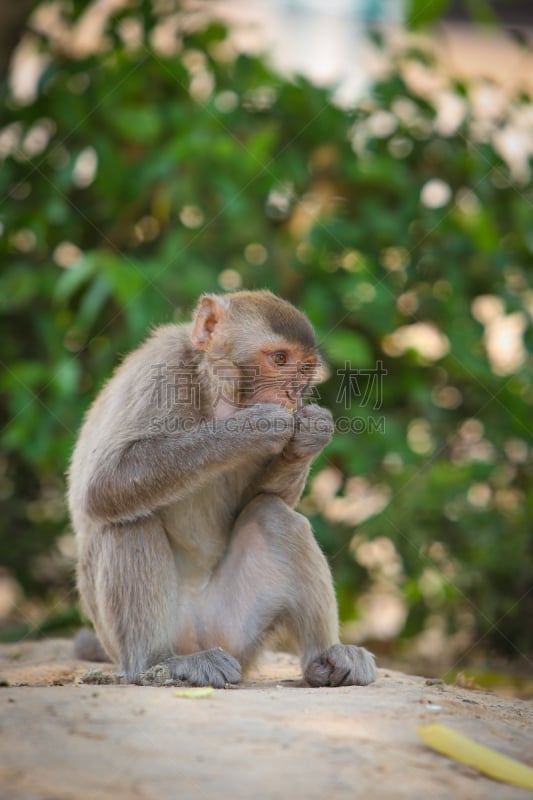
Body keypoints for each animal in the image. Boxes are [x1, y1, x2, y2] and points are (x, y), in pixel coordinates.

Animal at [68, 290, 376, 692]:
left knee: (272, 514)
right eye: (280, 359)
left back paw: (325, 659)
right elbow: (103, 485)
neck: (215, 396)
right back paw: (159, 662)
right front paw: (252, 427)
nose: (292, 393)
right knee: (127, 521)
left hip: (236, 631)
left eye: (305, 368)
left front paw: (311, 435)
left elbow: (260, 498)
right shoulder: (160, 373)